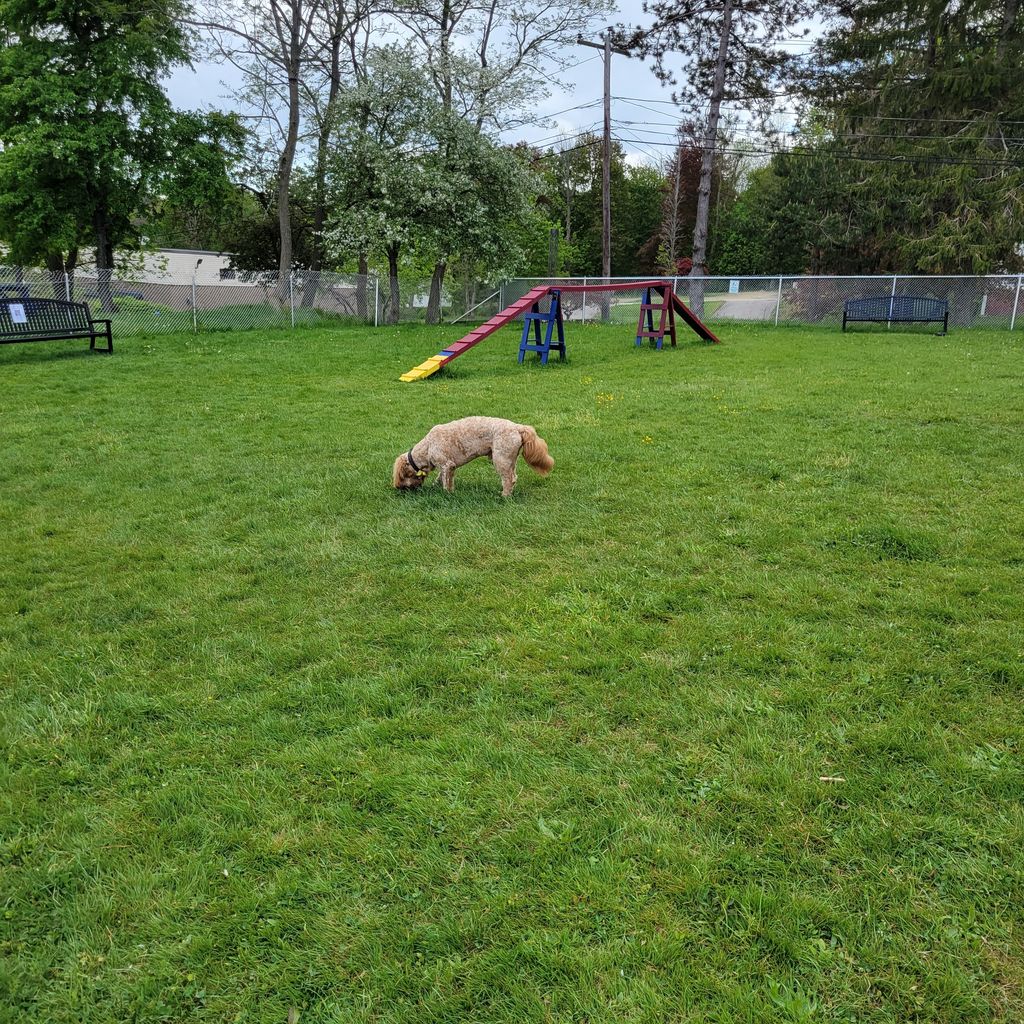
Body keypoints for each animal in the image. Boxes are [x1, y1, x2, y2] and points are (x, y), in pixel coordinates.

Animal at [391, 413, 552, 497]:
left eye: (400, 478)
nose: (398, 489)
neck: (427, 446)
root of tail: (518, 427)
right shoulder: (448, 467)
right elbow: (442, 478)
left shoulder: (447, 465)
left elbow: (446, 483)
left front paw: (446, 494)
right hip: (510, 460)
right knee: (513, 477)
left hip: (501, 459)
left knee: (508, 479)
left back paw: (504, 495)